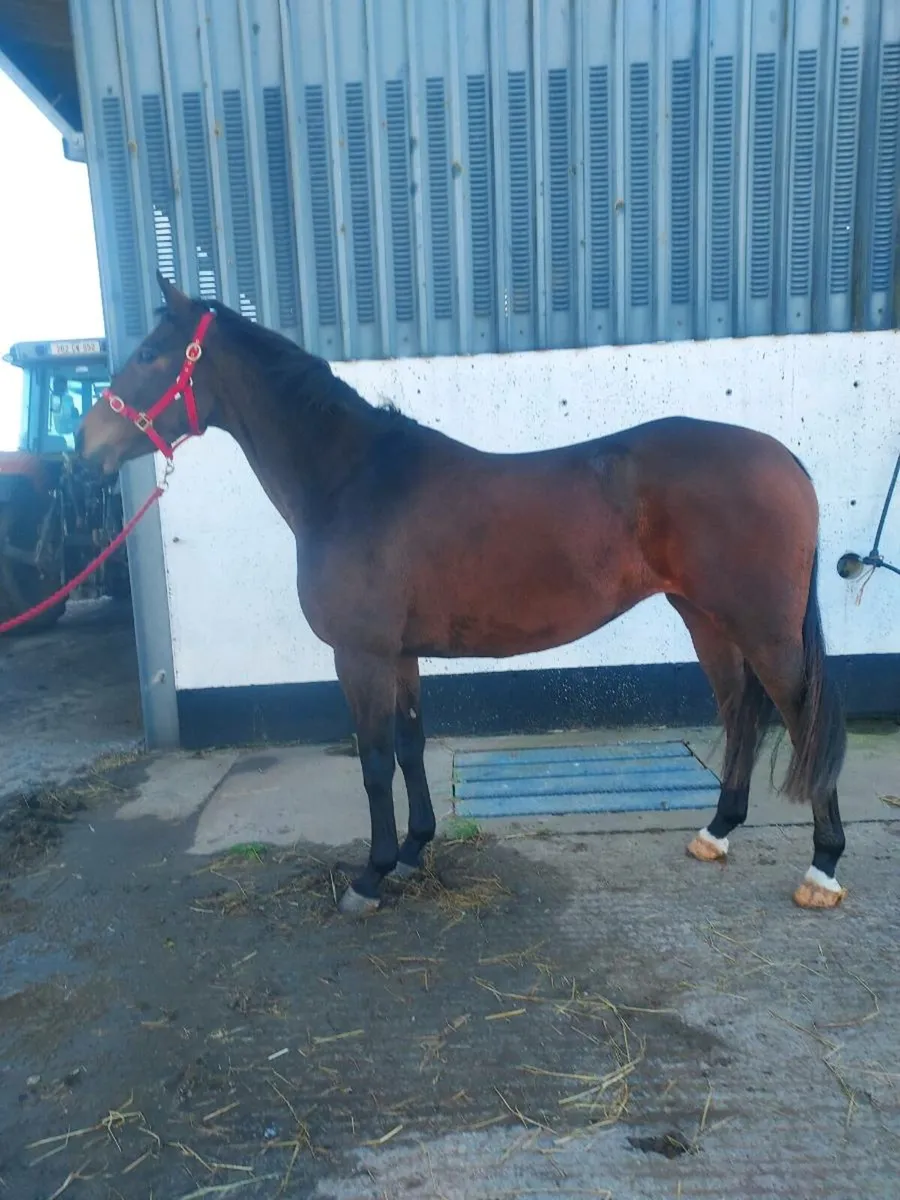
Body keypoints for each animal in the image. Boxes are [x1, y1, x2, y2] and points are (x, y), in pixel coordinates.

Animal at [76, 273, 848, 917]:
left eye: (150, 353)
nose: (87, 447)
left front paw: (370, 876)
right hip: (705, 618)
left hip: (764, 628)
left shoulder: (359, 655)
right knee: (741, 712)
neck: (354, 480)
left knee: (802, 717)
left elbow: (374, 760)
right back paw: (716, 833)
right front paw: (414, 850)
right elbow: (412, 745)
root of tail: (786, 461)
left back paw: (822, 869)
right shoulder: (399, 654)